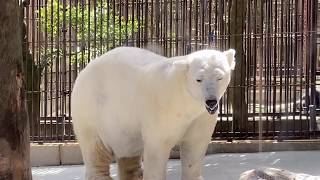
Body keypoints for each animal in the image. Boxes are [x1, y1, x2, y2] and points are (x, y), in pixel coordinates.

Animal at [72, 46, 235, 180]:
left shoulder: (200, 117)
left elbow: (195, 145)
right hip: (93, 111)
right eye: (198, 79)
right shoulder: (163, 109)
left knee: (129, 154)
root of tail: (83, 72)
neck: (184, 99)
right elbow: (158, 146)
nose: (211, 101)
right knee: (95, 150)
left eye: (219, 77)